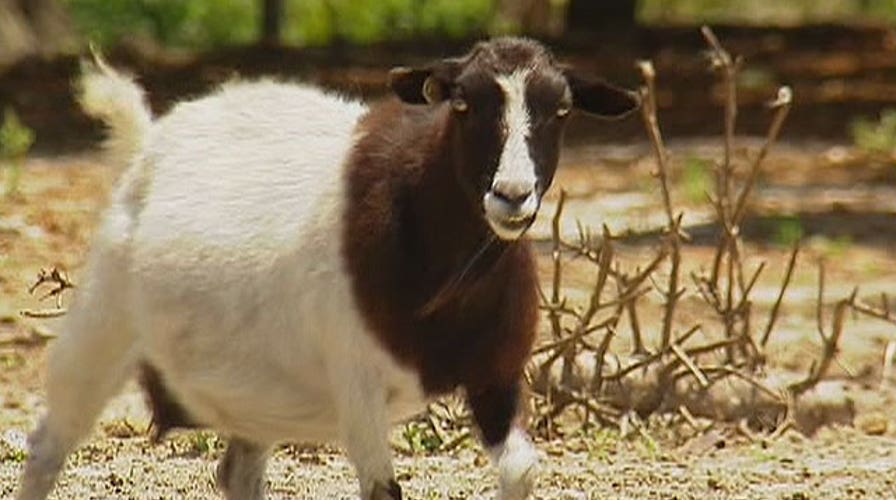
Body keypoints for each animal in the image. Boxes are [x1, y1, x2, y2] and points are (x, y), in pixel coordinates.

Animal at [16, 37, 638, 500]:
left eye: (561, 110)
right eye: (462, 103)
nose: (512, 195)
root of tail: (149, 140)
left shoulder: (496, 376)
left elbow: (521, 470)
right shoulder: (356, 382)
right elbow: (383, 490)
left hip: (252, 388)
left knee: (237, 473)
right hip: (103, 321)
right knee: (46, 449)